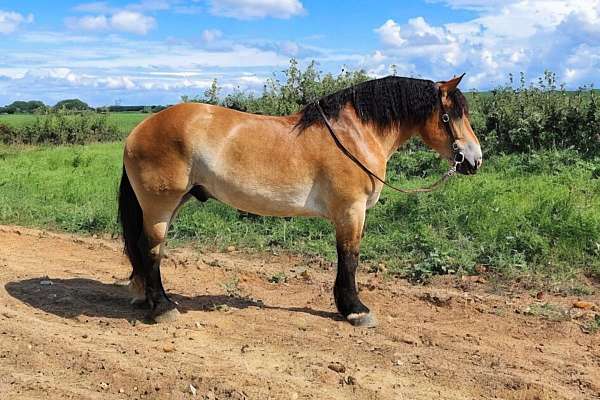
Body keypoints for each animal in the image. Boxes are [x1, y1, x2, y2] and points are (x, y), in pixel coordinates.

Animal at [117, 73, 482, 326]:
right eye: (451, 115)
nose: (474, 159)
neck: (353, 134)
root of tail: (139, 129)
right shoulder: (350, 211)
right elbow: (349, 258)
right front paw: (355, 310)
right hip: (160, 205)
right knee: (151, 249)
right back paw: (163, 308)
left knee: (150, 250)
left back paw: (150, 299)